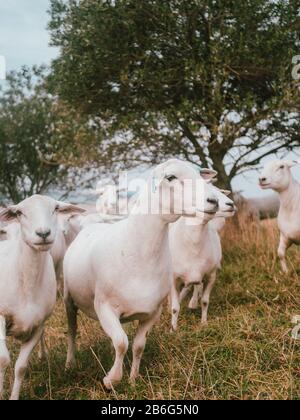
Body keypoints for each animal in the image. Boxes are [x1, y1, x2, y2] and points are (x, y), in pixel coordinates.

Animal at [0, 195, 84, 398]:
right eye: (19, 212)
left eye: (56, 208)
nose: (43, 233)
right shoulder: (0, 317)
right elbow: (3, 360)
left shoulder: (38, 324)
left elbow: (20, 367)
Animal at [62, 159, 218, 388]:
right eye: (170, 177)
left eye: (200, 175)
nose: (213, 201)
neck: (138, 252)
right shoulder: (104, 306)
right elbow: (121, 343)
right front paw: (111, 380)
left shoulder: (152, 312)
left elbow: (137, 345)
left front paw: (134, 379)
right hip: (68, 298)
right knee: (73, 331)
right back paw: (70, 363)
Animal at [170, 188, 236, 332]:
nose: (231, 204)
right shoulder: (173, 279)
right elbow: (174, 308)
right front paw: (172, 330)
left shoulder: (211, 275)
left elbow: (205, 301)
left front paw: (204, 323)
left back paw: (192, 303)